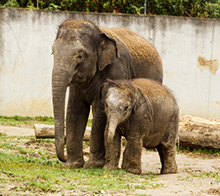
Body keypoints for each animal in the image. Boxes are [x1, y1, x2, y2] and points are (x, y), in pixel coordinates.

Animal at [51, 19, 162, 168]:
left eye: (80, 56)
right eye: (53, 52)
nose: (63, 158)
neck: (99, 32)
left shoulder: (117, 71)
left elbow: (100, 111)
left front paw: (93, 165)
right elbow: (74, 110)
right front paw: (72, 165)